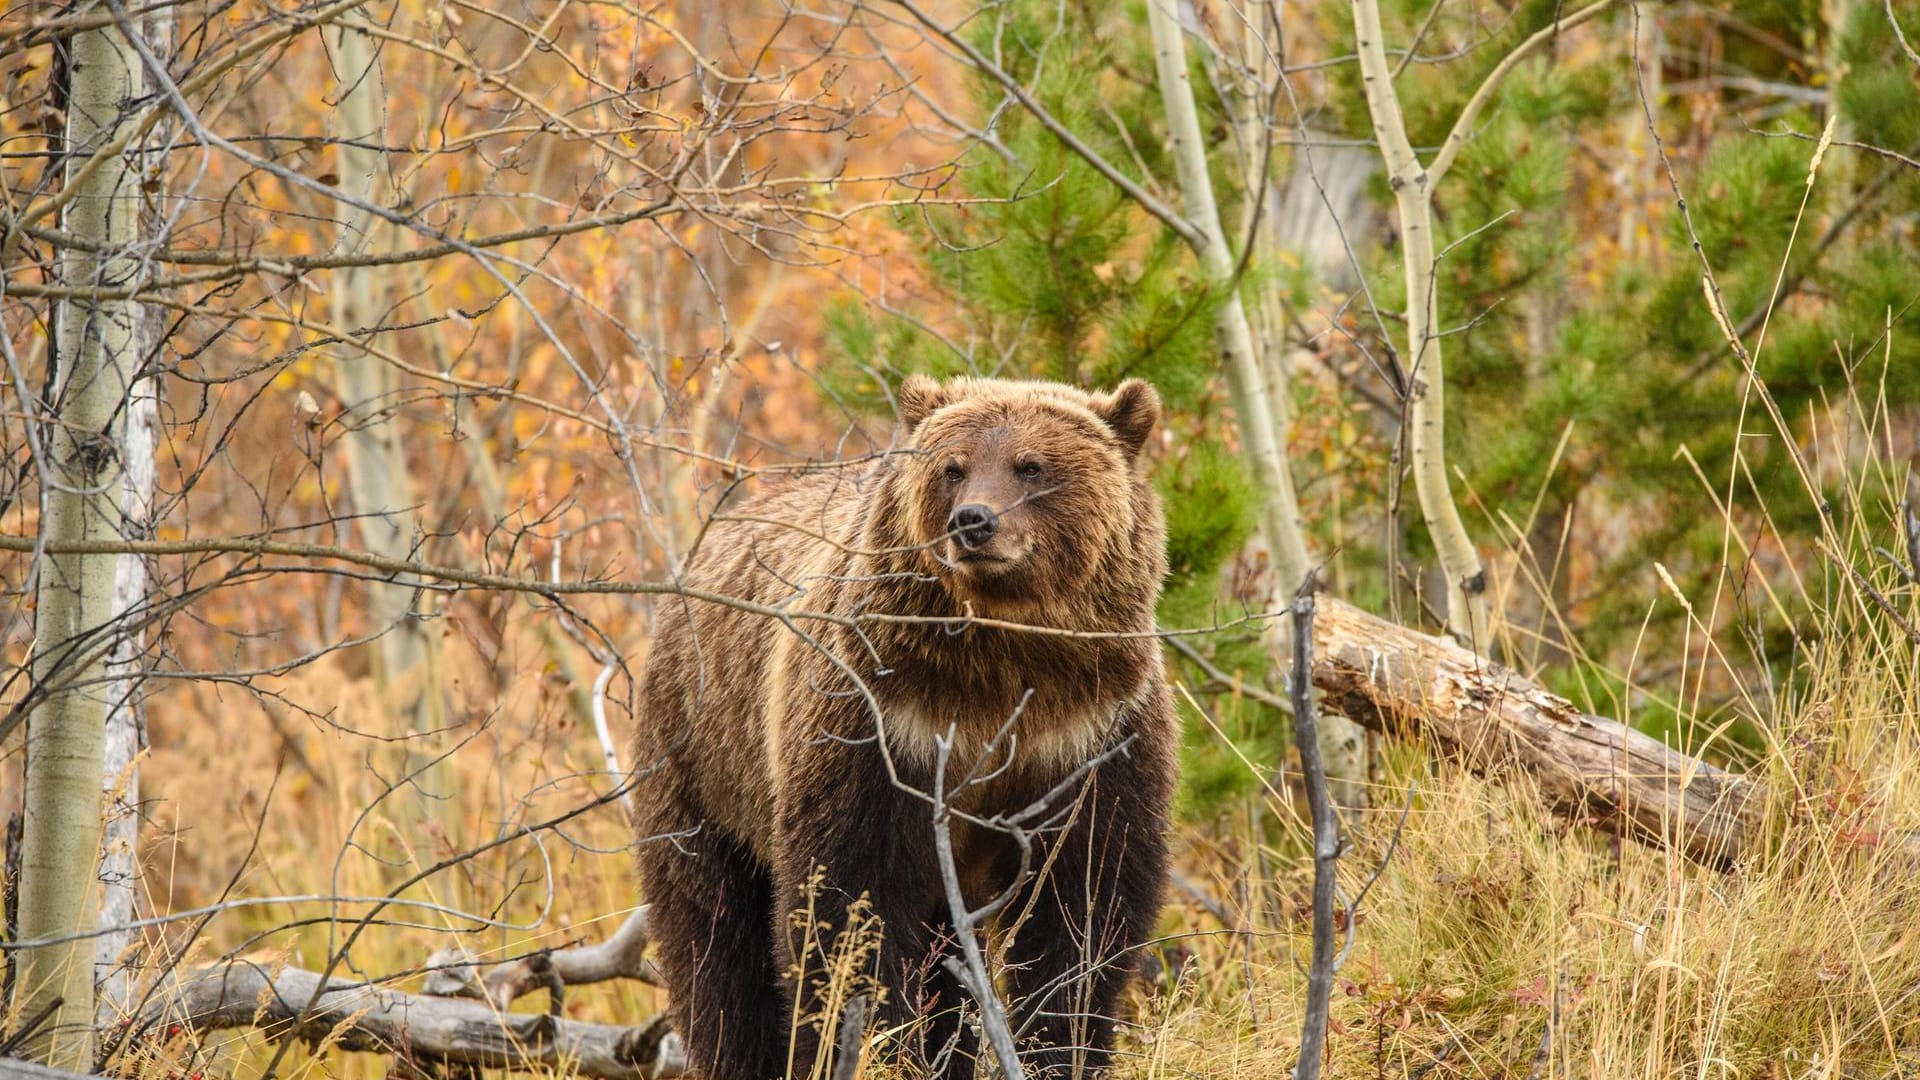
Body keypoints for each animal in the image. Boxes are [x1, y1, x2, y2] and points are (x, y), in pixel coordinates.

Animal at [633, 374, 1167, 1068]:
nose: (974, 522)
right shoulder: (882, 724)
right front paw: (874, 1043)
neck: (999, 667)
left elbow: (1083, 906)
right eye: (952, 467)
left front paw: (1060, 1046)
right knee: (716, 945)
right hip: (705, 768)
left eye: (1031, 466)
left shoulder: (1090, 735)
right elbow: (851, 900)